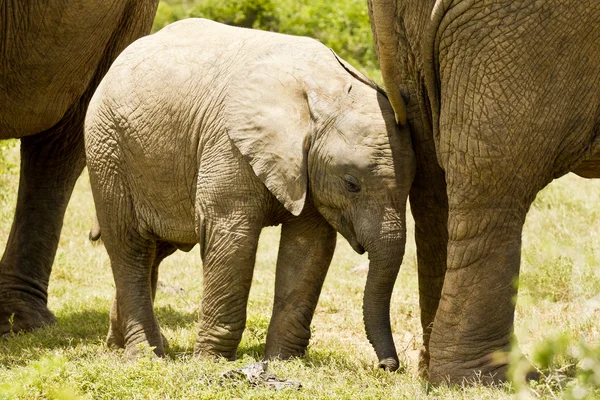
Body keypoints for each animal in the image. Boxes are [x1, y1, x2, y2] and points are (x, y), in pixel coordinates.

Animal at [84, 18, 414, 368]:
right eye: (352, 184)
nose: (387, 367)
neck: (326, 92)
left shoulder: (307, 170)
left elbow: (309, 246)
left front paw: (283, 361)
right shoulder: (228, 143)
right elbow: (232, 237)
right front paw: (210, 363)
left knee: (154, 251)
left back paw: (119, 347)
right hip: (107, 148)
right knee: (129, 246)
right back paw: (144, 357)